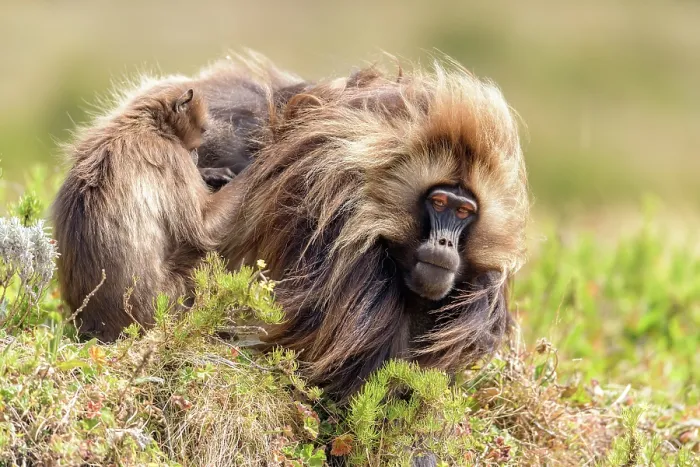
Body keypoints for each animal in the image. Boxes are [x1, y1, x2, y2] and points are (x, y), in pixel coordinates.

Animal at [53, 79, 232, 342]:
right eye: (203, 130)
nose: (196, 156)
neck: (148, 124)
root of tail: (95, 325)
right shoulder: (173, 158)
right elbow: (203, 228)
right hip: (162, 302)